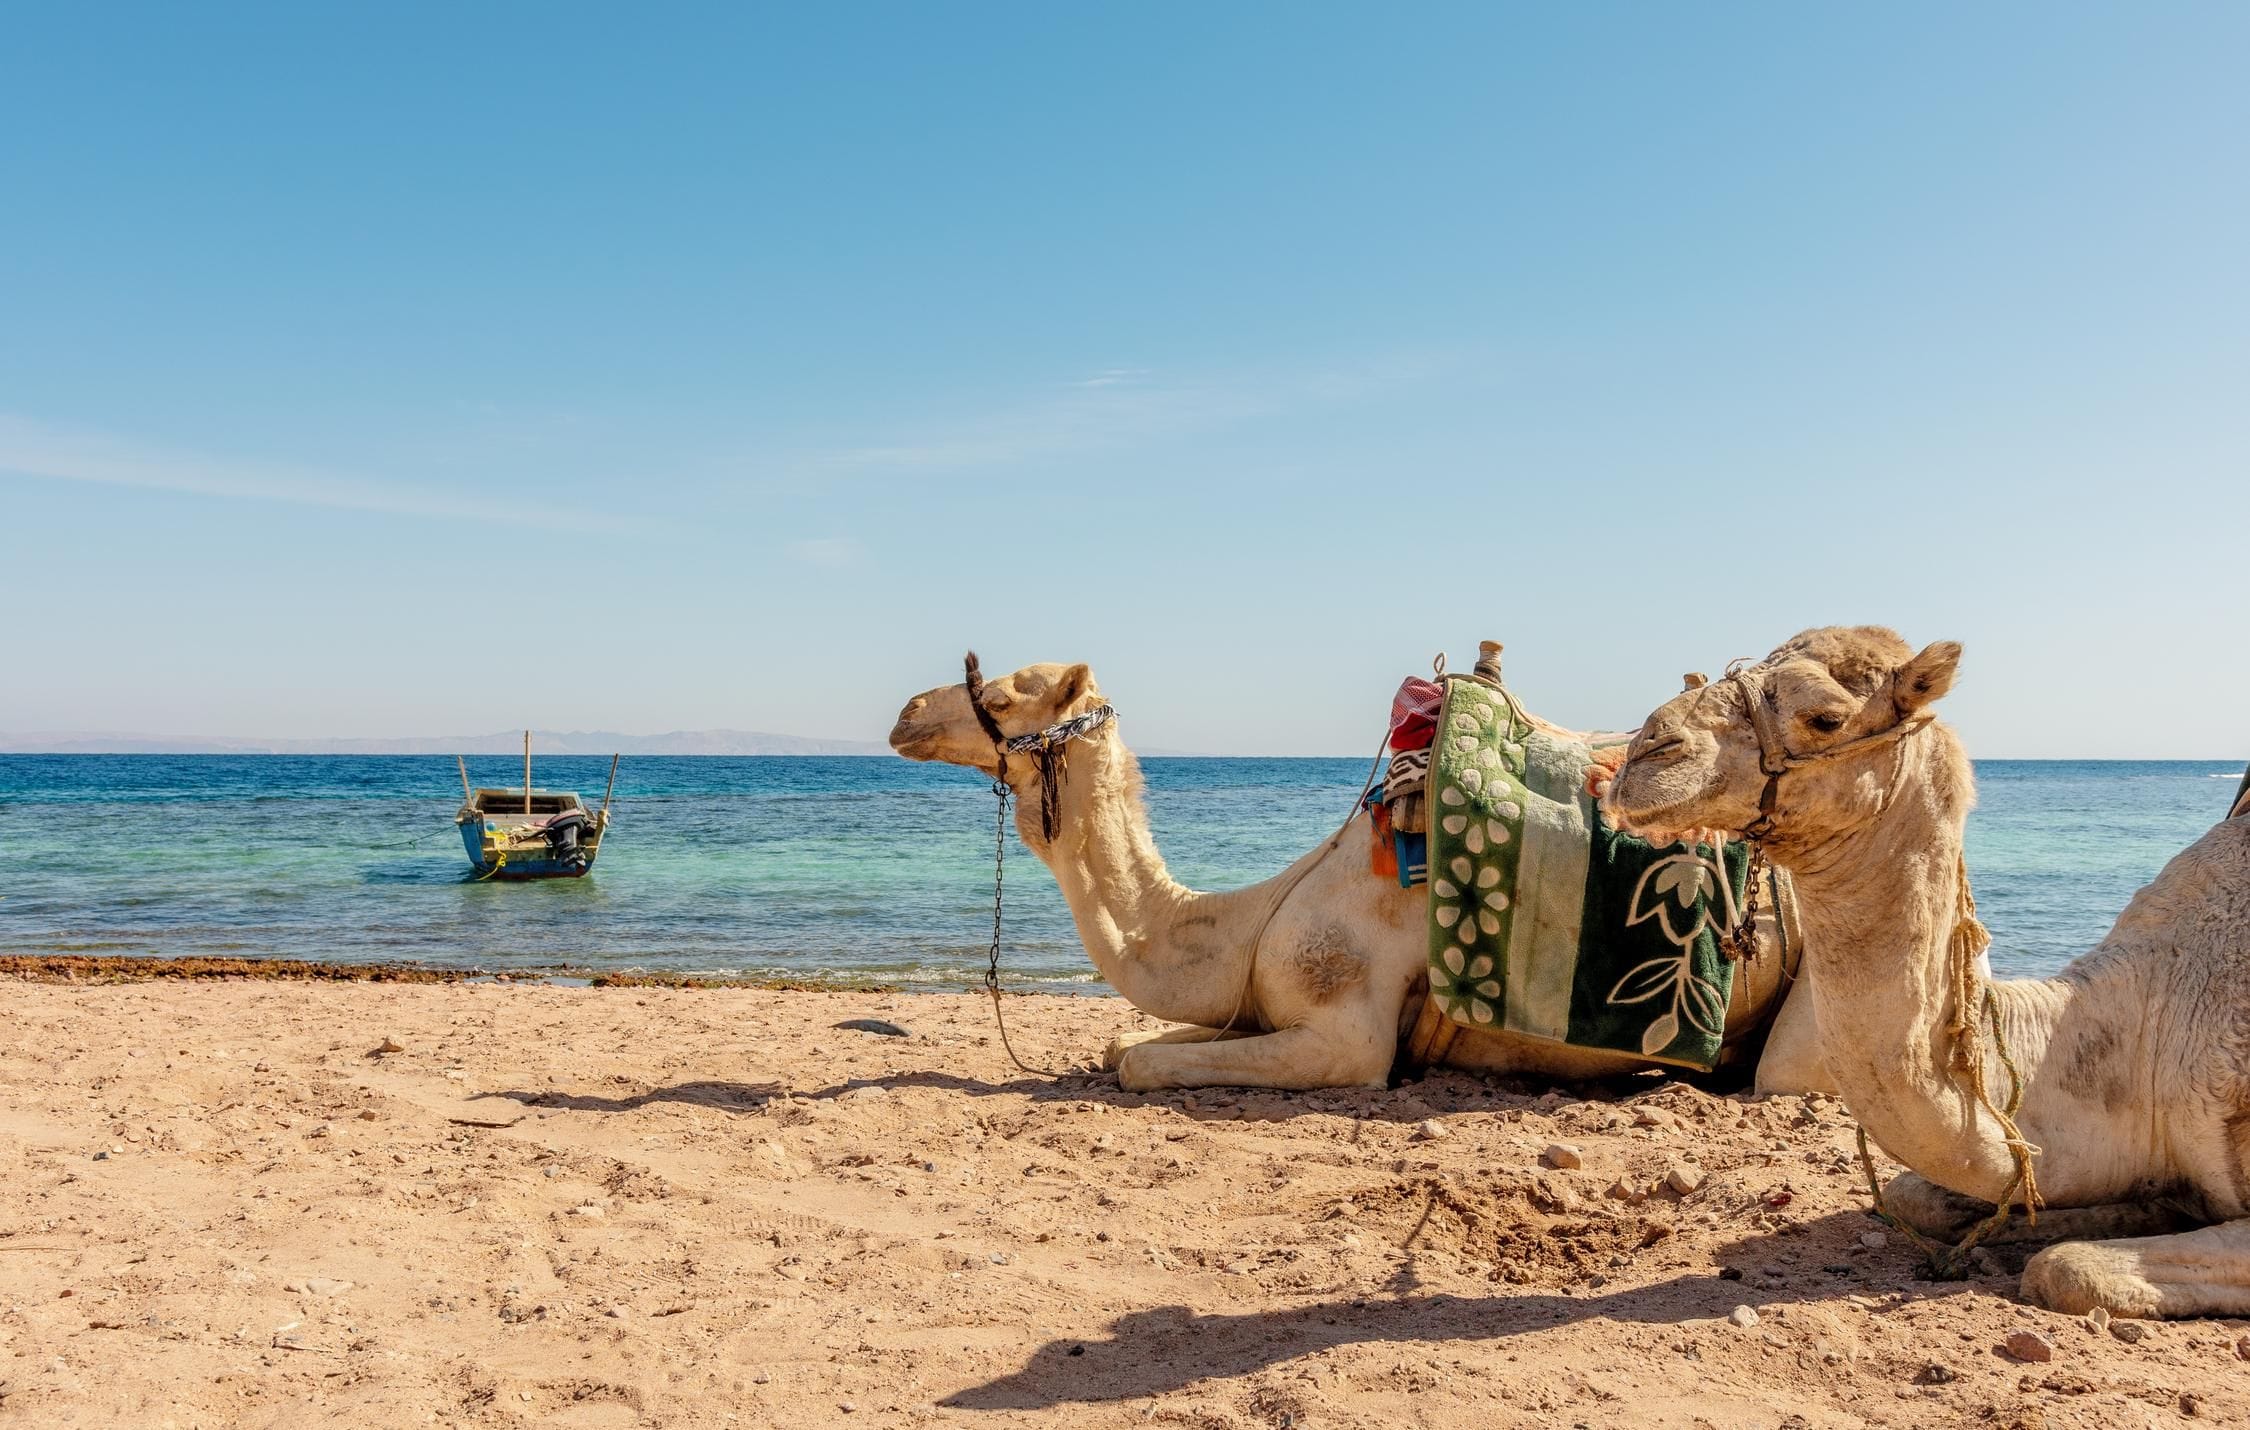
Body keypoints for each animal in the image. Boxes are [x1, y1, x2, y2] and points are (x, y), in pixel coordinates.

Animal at [889, 657, 1827, 1095]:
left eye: (1001, 696)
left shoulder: (1346, 1034)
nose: (905, 713)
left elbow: (1139, 1065)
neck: (1254, 914)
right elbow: (1126, 1043)